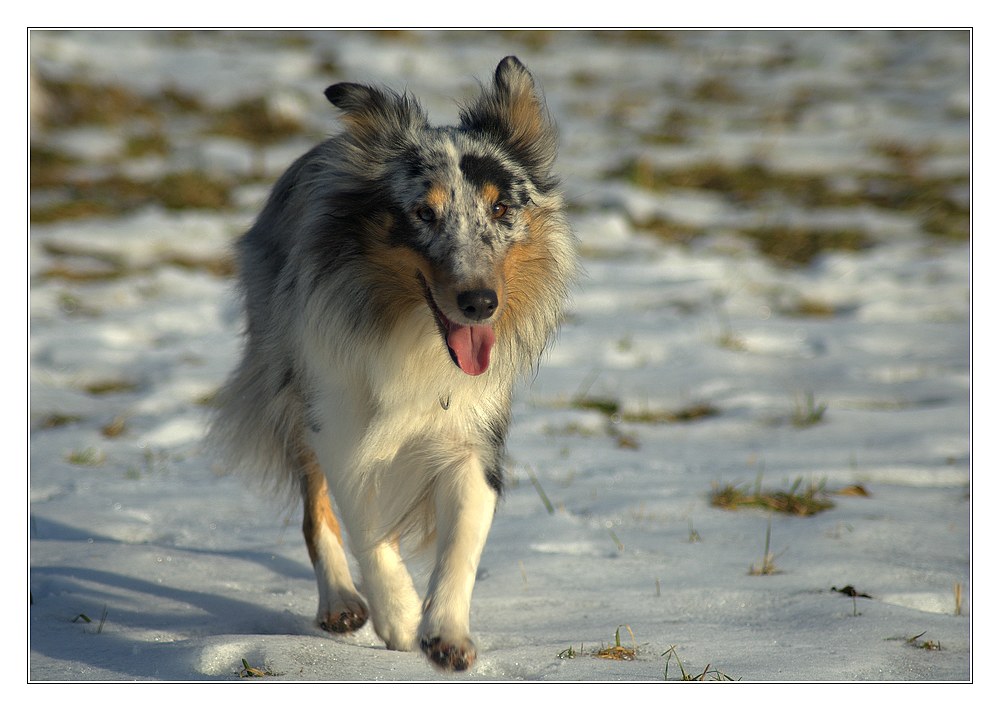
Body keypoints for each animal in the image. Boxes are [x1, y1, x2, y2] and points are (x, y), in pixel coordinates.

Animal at [207, 57, 576, 672]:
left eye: (501, 208)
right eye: (423, 212)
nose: (480, 303)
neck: (419, 337)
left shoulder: (473, 435)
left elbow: (463, 540)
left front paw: (446, 635)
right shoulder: (339, 422)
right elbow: (363, 526)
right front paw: (400, 618)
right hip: (289, 378)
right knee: (316, 510)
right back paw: (341, 603)